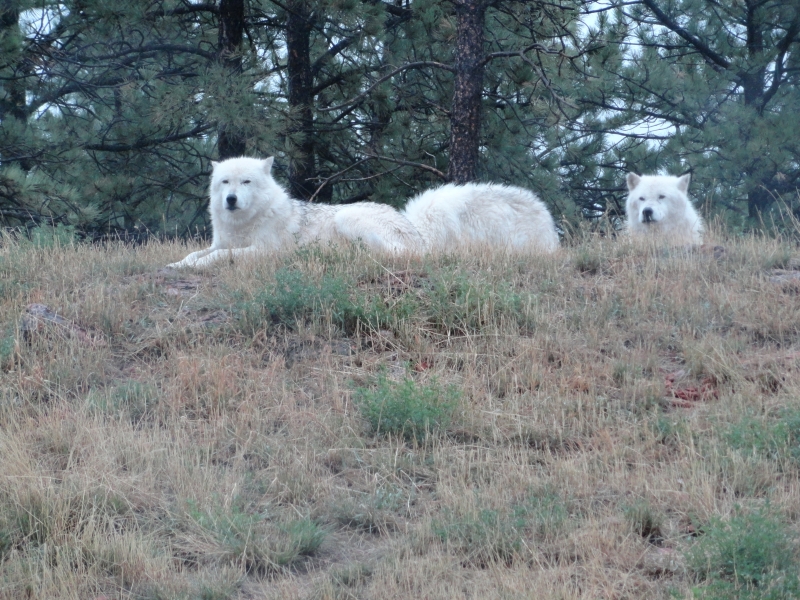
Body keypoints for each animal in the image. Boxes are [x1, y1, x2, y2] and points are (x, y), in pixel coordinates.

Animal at [168, 157, 423, 268]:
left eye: (246, 182)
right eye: (225, 181)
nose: (231, 199)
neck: (243, 223)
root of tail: (420, 237)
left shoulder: (265, 250)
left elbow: (219, 256)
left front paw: (197, 265)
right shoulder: (220, 243)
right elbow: (194, 253)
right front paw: (178, 264)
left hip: (346, 218)